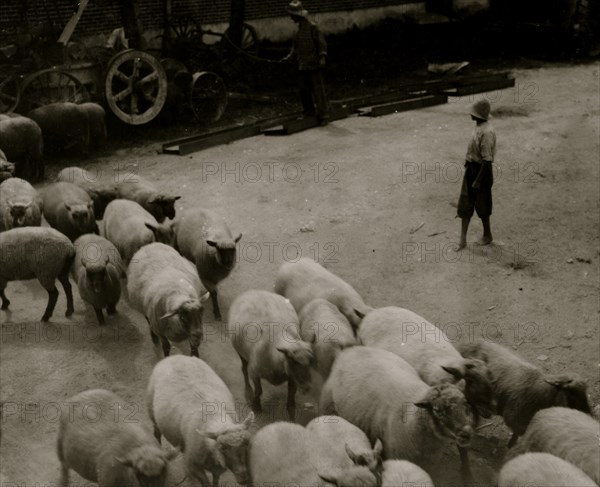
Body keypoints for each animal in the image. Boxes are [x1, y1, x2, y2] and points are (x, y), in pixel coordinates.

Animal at [148, 354, 255, 487]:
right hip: (151, 411)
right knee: (156, 433)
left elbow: (215, 481)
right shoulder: (194, 467)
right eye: (223, 448)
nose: (244, 478)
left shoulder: (217, 468)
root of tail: (175, 356)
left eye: (247, 444)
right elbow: (205, 483)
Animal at [227, 290, 316, 424]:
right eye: (293, 361)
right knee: (244, 370)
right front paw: (256, 406)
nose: (307, 387)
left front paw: (292, 422)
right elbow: (258, 391)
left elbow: (291, 403)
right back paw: (248, 392)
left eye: (311, 362)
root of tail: (253, 291)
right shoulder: (255, 372)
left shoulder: (293, 379)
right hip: (241, 353)